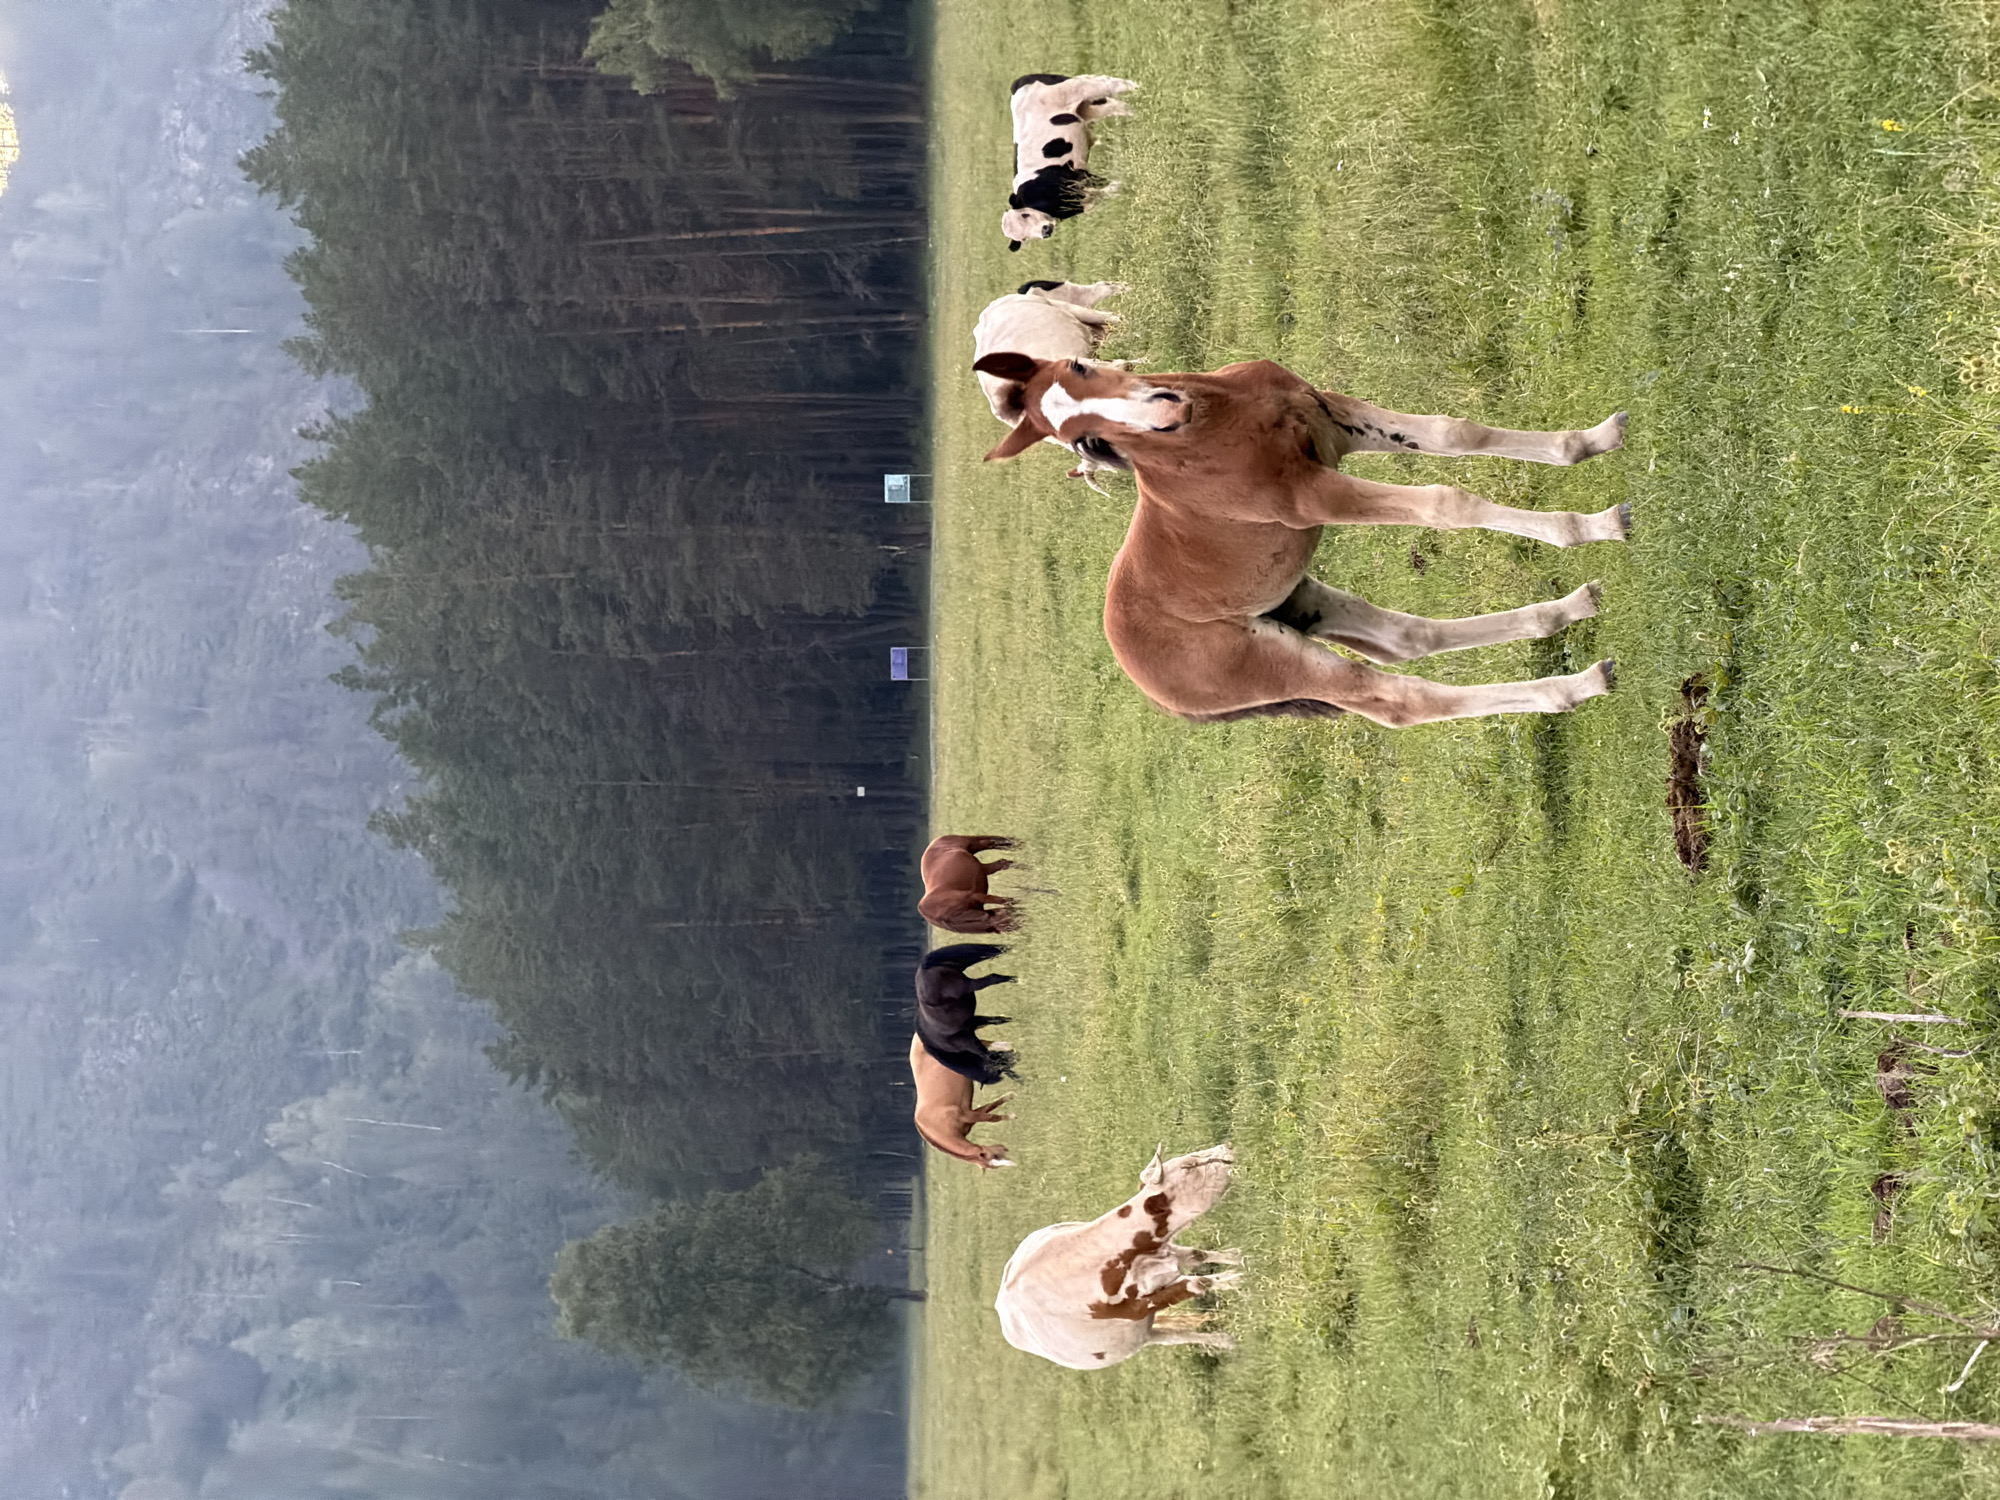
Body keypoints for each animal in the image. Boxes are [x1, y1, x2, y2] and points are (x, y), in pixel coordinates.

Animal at [908, 1034, 1014, 1169]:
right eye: (995, 1157)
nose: (1013, 1163)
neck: (934, 1126)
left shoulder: (969, 1114)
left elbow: (991, 1116)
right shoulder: (970, 1114)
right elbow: (990, 1110)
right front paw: (1010, 1100)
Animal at [914, 943, 1017, 1085]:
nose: (1015, 1057)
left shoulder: (970, 1041)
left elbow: (987, 1053)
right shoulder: (973, 1025)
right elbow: (994, 1022)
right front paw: (1010, 1020)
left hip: (967, 983)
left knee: (992, 978)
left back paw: (1013, 978)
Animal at [970, 351, 1632, 727]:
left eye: (1080, 368)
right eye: (1084, 443)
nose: (1164, 410)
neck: (1218, 423)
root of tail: (1157, 695)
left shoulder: (1330, 417)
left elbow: (1454, 431)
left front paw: (1592, 440)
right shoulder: (1313, 495)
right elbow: (1447, 502)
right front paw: (1589, 526)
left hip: (1297, 600)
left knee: (1404, 640)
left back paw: (1569, 609)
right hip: (1278, 664)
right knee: (1399, 701)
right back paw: (1575, 686)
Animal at [995, 1144, 1243, 1368]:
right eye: (1188, 1166)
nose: (1228, 1147)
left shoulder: (1165, 1255)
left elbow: (1198, 1255)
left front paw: (1237, 1258)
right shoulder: (1138, 1308)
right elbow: (1199, 1283)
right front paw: (1235, 1280)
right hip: (1135, 1336)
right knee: (1172, 1337)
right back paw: (1223, 1340)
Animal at [1002, 73, 1139, 250]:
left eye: (1025, 215)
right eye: (1023, 238)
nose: (1045, 231)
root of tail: (1018, 82)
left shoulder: (1076, 177)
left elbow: (1108, 184)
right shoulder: (1083, 198)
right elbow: (1106, 191)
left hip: (1075, 89)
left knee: (1109, 84)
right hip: (1087, 108)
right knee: (1113, 104)